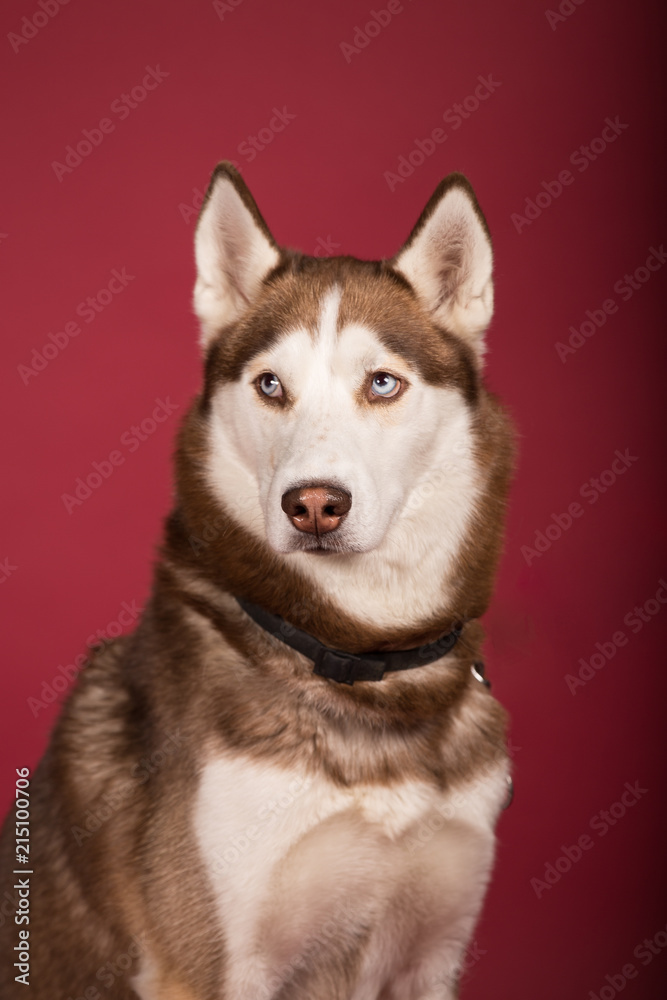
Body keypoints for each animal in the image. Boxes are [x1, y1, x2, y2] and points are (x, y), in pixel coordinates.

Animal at [0, 168, 516, 996]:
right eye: (271, 385)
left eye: (382, 383)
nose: (313, 504)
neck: (359, 662)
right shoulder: (214, 965)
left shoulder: (431, 956)